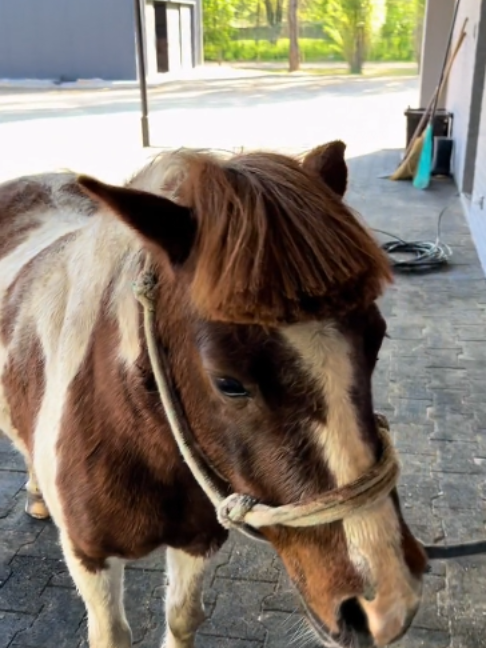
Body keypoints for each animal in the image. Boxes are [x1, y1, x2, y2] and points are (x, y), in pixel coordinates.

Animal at [0, 140, 428, 648]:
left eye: (376, 338)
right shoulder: (90, 557)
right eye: (228, 382)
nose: (386, 605)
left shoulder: (198, 539)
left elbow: (183, 616)